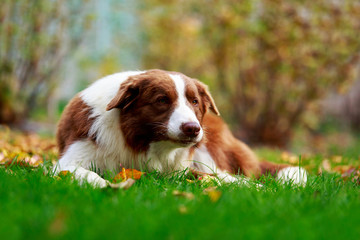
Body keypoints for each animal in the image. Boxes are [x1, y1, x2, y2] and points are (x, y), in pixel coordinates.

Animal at [54, 69, 306, 188]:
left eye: (194, 101)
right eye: (162, 100)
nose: (193, 128)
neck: (138, 141)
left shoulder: (179, 169)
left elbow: (217, 178)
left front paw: (256, 188)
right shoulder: (67, 162)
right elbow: (84, 173)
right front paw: (105, 185)